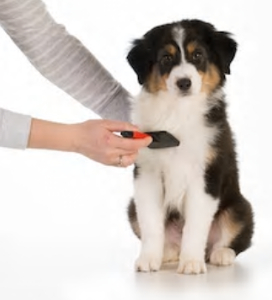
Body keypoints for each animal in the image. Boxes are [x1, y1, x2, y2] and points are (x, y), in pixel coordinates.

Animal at [126, 19, 254, 276]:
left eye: (198, 55)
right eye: (166, 58)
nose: (183, 83)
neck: (178, 112)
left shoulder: (206, 174)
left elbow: (195, 224)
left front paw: (192, 263)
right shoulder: (147, 174)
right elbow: (151, 222)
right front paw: (148, 259)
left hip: (240, 208)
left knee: (232, 238)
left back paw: (220, 255)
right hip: (131, 208)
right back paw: (168, 253)